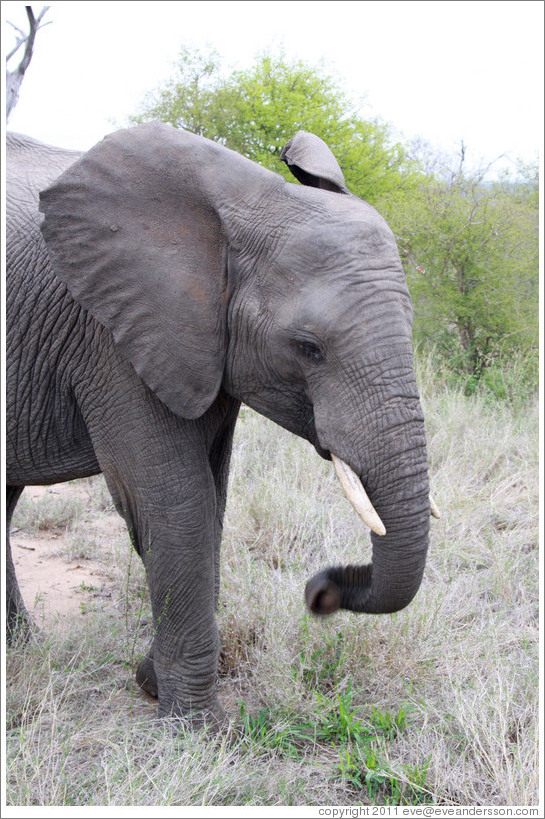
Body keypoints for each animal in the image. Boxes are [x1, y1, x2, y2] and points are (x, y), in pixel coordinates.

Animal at [6, 122, 438, 726]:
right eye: (308, 348)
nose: (318, 593)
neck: (248, 202)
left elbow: (212, 497)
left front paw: (152, 685)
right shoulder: (112, 335)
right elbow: (177, 503)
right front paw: (195, 727)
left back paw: (22, 649)